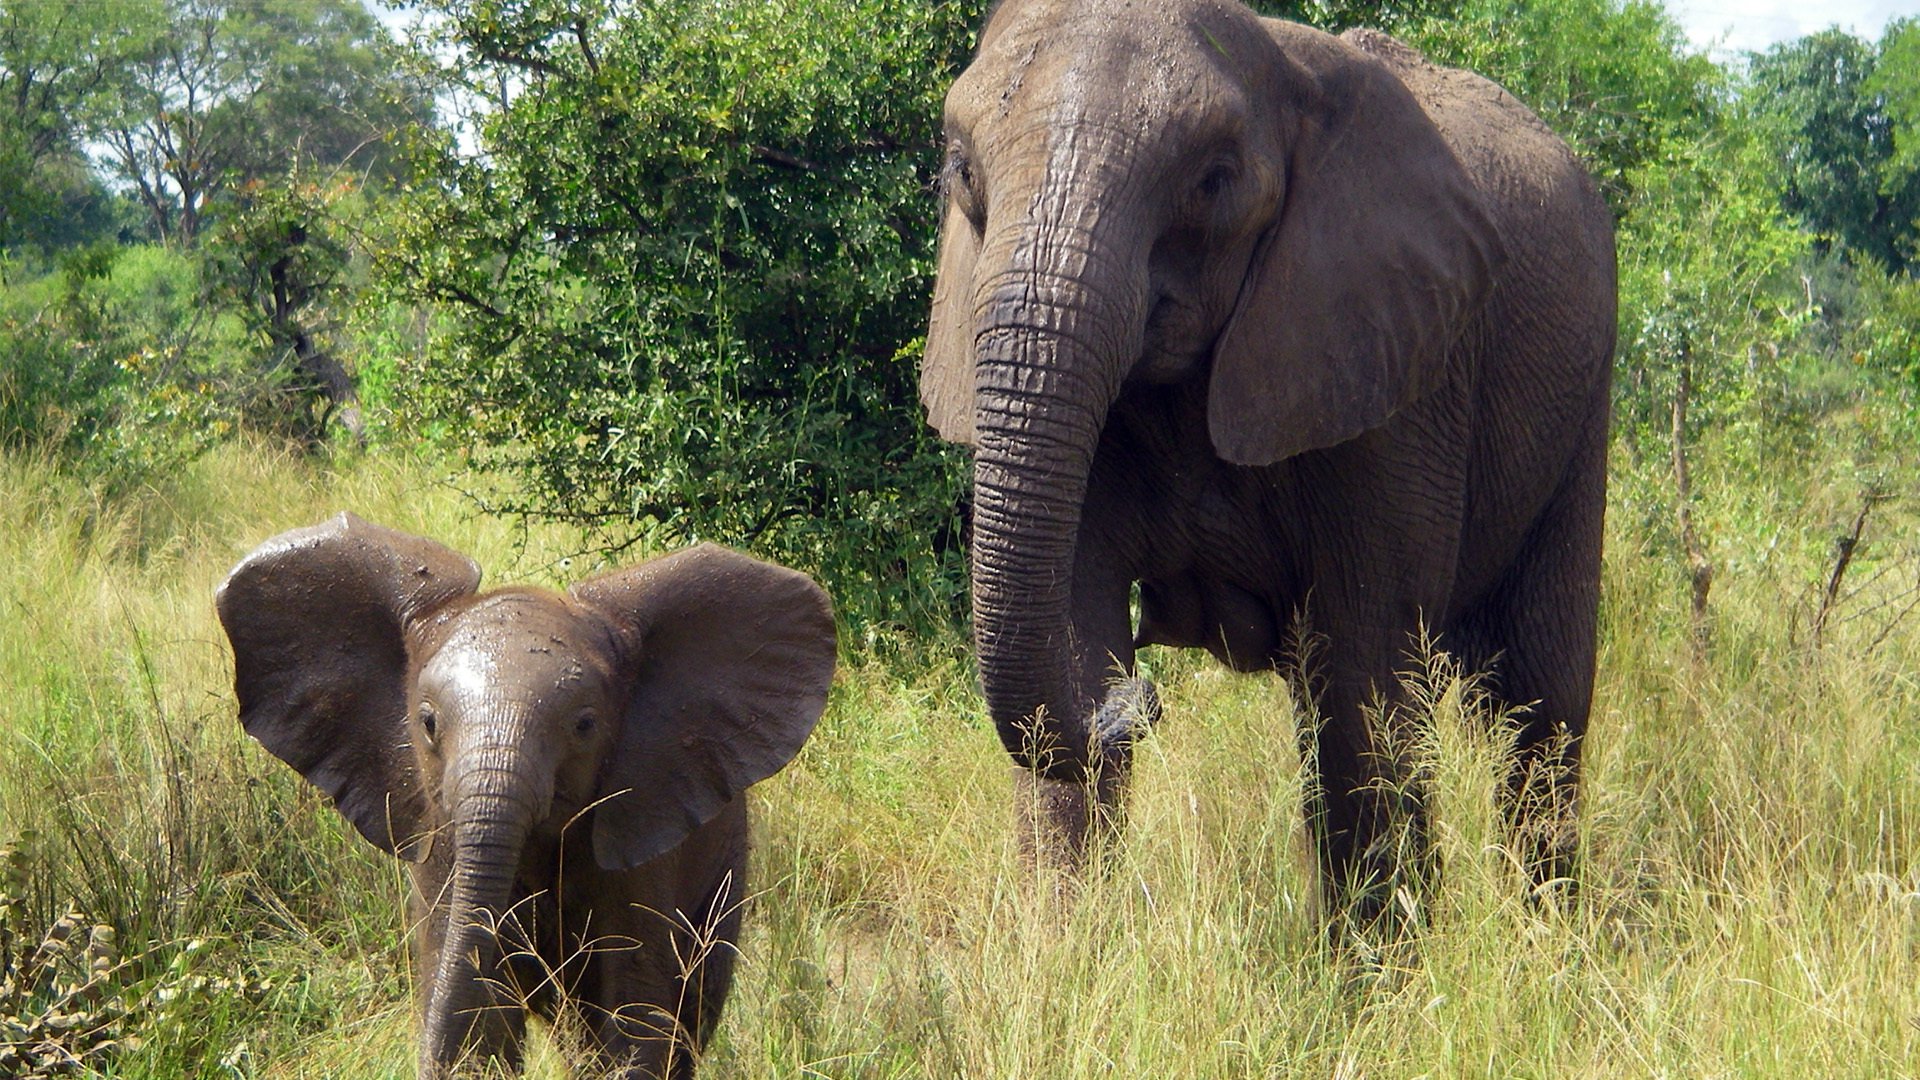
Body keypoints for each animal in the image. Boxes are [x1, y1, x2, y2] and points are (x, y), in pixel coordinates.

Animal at [921, 0, 1612, 907]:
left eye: (1214, 181)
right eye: (962, 171)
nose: (1138, 696)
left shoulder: (1398, 376)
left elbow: (1364, 686)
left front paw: (1389, 951)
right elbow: (1070, 643)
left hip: (1585, 395)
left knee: (1542, 700)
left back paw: (1550, 932)